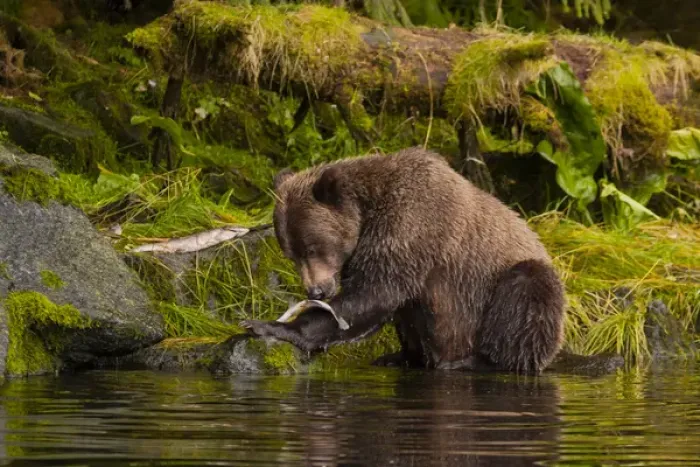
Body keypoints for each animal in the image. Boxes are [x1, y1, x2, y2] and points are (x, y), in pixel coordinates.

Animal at [240, 147, 566, 374]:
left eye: (311, 247)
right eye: (290, 253)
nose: (315, 291)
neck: (369, 212)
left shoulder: (411, 227)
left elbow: (373, 293)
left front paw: (271, 326)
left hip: (509, 290)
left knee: (528, 292)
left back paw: (477, 361)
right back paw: (397, 358)